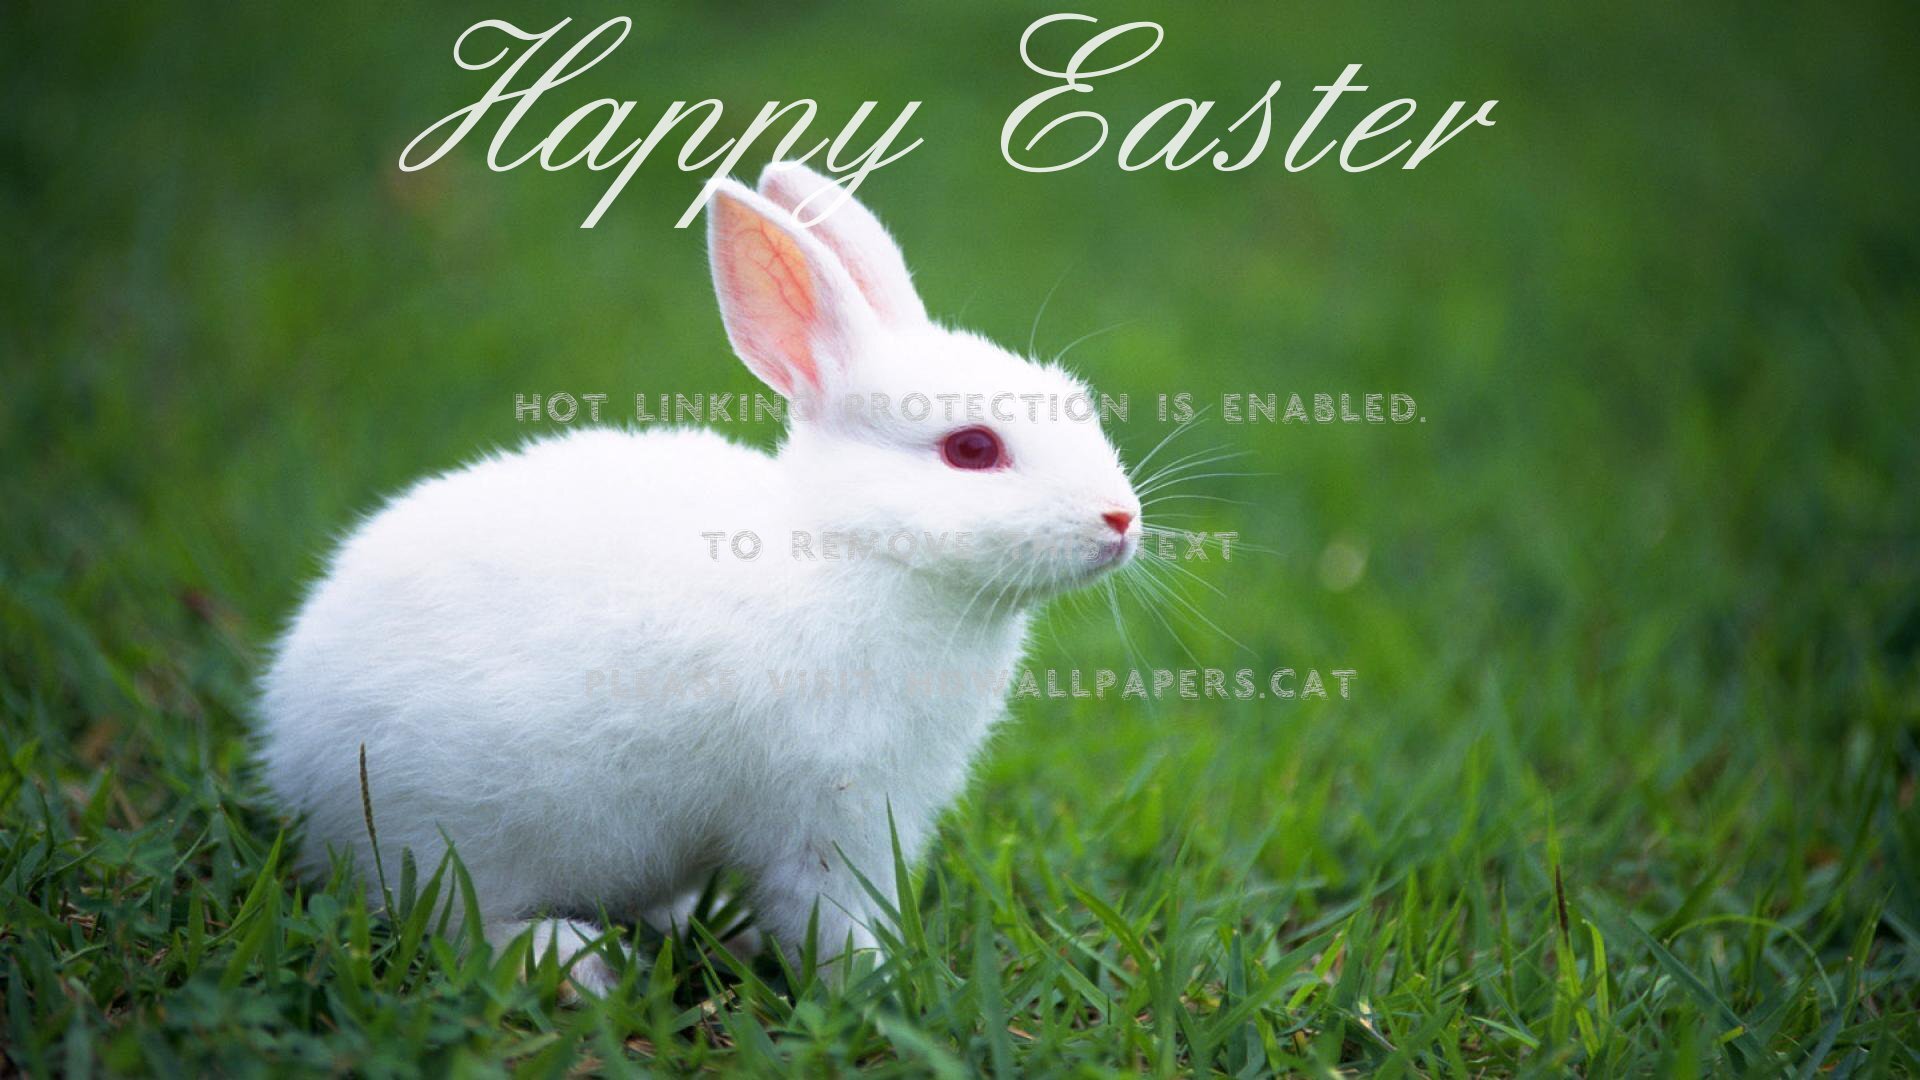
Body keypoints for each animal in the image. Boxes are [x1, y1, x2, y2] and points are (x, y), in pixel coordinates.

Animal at [257, 161, 1143, 993]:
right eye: (972, 449)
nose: (1121, 519)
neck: (858, 549)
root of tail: (293, 752)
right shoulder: (826, 811)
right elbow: (832, 914)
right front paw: (884, 983)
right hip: (455, 834)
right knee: (456, 918)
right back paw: (576, 963)